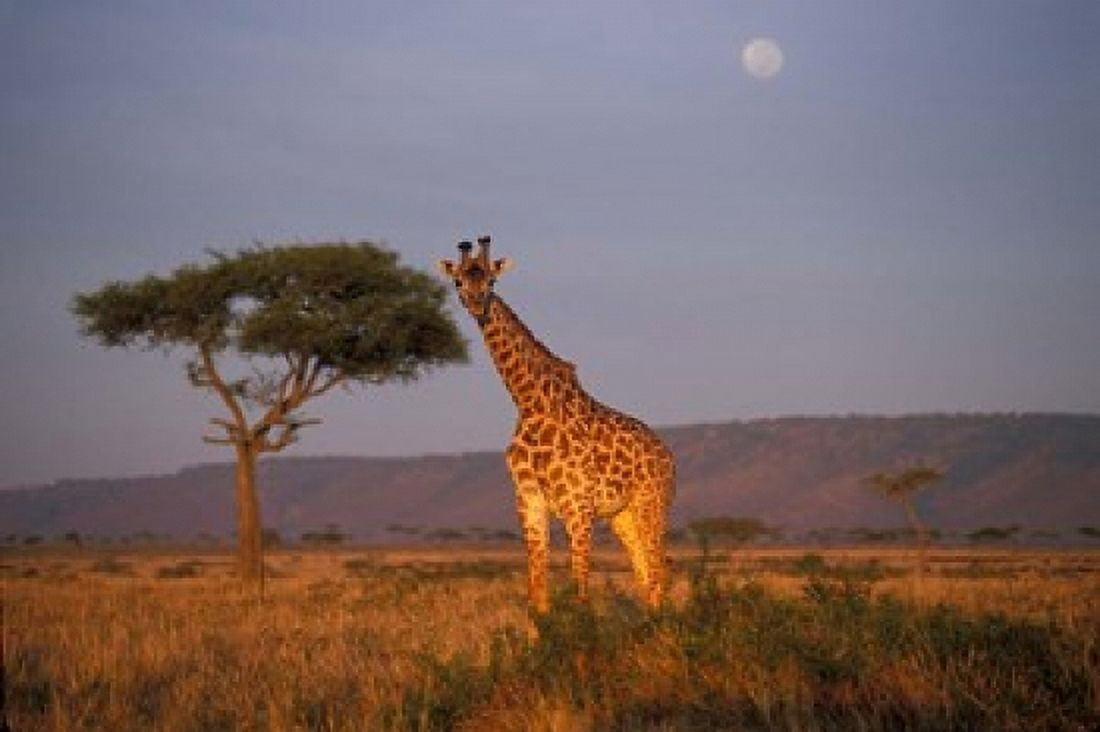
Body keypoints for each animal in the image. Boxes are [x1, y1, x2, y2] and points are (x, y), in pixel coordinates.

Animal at [438, 236, 676, 618]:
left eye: (491, 281)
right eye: (458, 281)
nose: (476, 304)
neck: (529, 402)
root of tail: (668, 455)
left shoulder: (578, 505)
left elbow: (580, 594)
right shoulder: (529, 500)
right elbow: (537, 595)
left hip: (651, 504)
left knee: (658, 575)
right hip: (621, 515)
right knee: (645, 576)